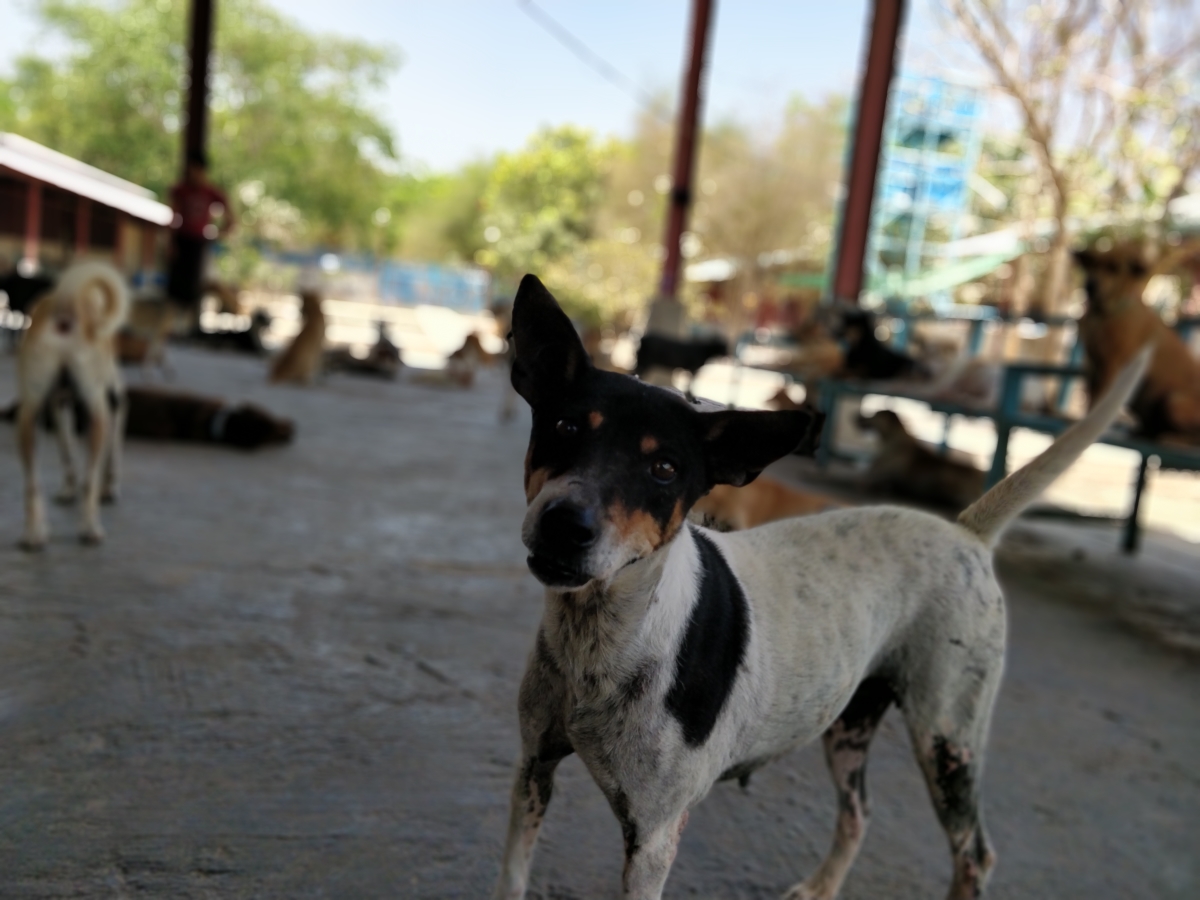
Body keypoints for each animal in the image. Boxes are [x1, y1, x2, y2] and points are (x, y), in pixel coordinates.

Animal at [14, 256, 129, 547]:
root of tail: (68, 305)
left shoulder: (57, 407)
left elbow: (66, 450)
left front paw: (67, 488)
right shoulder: (112, 402)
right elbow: (111, 451)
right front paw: (110, 486)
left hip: (29, 415)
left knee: (33, 483)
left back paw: (35, 533)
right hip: (100, 410)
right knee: (91, 479)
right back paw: (91, 525)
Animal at [489, 274, 1152, 900]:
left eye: (665, 469)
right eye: (565, 427)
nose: (564, 524)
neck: (602, 636)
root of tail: (966, 532)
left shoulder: (652, 837)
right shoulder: (532, 770)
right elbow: (514, 877)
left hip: (949, 738)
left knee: (975, 855)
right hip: (851, 723)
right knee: (860, 813)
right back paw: (822, 886)